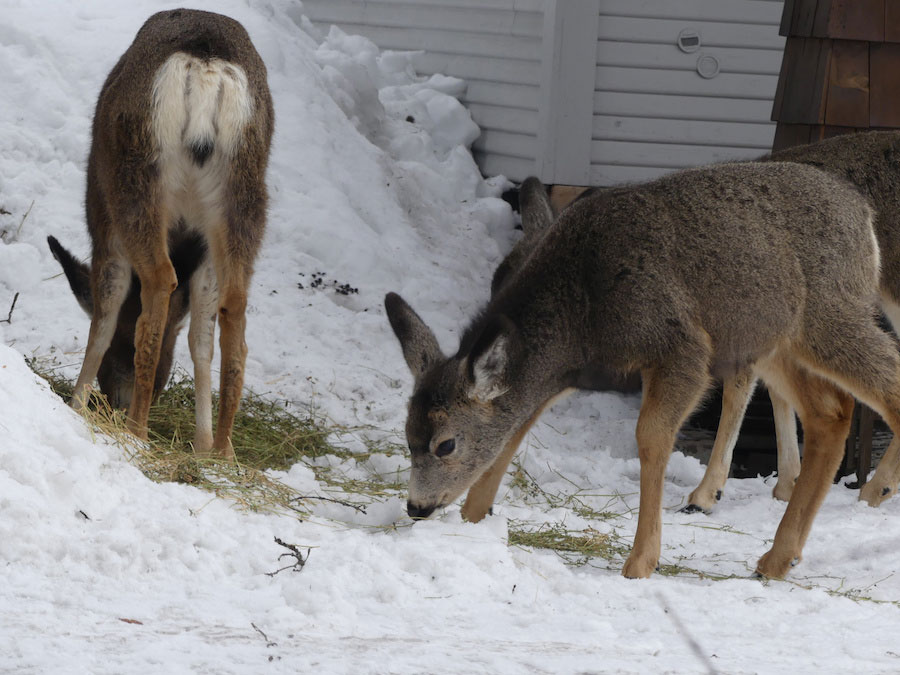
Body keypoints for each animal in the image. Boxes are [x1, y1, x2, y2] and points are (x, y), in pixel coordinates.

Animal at [48, 9, 274, 460]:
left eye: (119, 354)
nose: (114, 400)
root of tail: (206, 66)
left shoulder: (103, 224)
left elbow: (104, 316)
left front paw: (76, 404)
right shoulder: (202, 251)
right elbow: (200, 339)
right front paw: (202, 444)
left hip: (136, 179)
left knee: (158, 282)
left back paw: (137, 430)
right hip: (244, 197)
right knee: (235, 306)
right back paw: (224, 452)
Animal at [385, 160, 900, 579]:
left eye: (445, 444)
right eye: (407, 437)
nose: (416, 507)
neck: (579, 314)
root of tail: (862, 214)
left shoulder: (681, 346)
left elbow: (651, 438)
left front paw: (641, 561)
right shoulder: (559, 377)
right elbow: (512, 435)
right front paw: (474, 520)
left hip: (828, 313)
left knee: (885, 387)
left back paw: (874, 496)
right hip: (773, 340)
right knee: (830, 414)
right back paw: (779, 557)